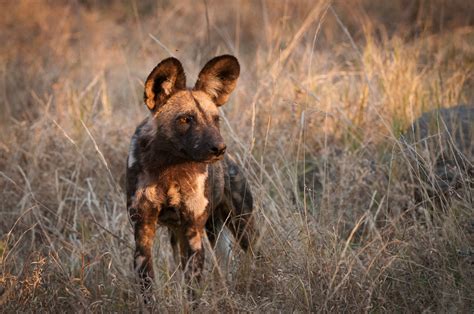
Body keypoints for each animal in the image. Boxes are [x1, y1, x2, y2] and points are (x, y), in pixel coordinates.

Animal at [126, 55, 258, 300]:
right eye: (186, 119)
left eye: (216, 119)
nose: (219, 148)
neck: (168, 168)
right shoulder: (143, 231)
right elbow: (148, 287)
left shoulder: (193, 232)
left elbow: (193, 291)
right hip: (184, 234)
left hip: (241, 224)